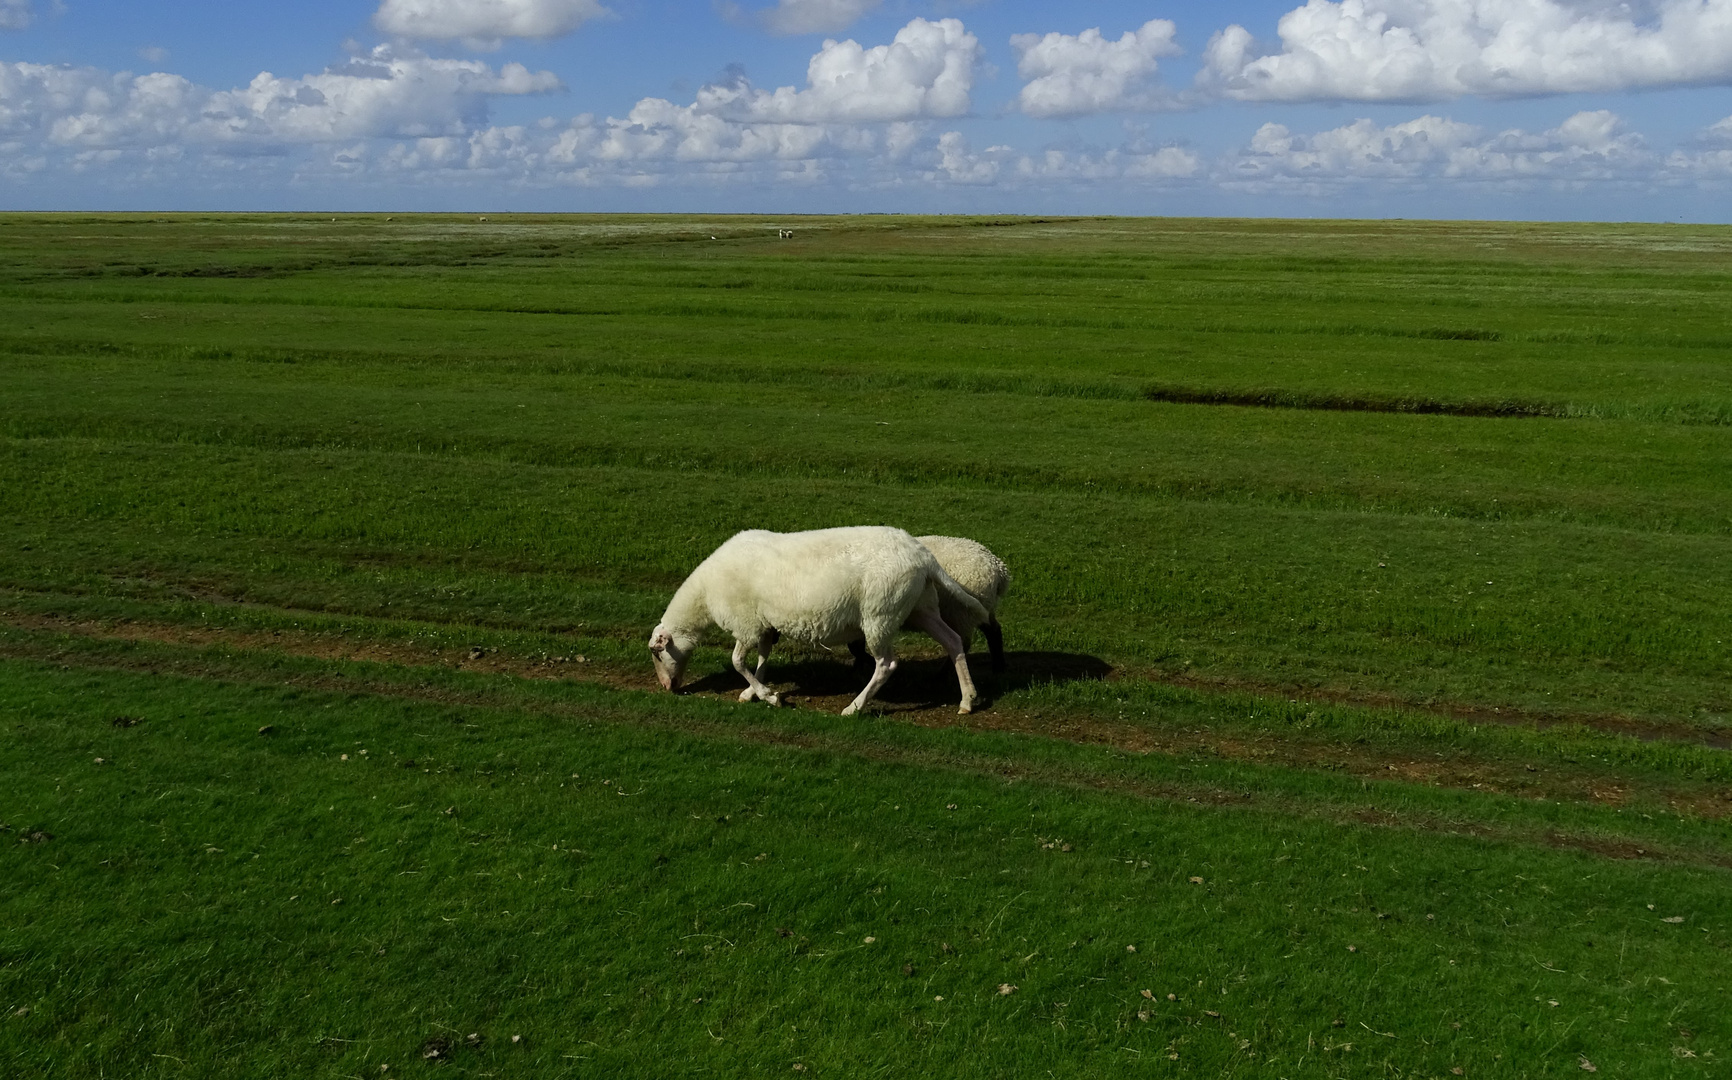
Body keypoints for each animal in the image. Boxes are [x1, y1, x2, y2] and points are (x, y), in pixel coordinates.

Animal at [647, 526, 990, 713]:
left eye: (656, 652)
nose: (666, 687)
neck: (704, 595)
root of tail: (923, 555)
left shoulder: (745, 623)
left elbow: (738, 662)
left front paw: (769, 697)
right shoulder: (763, 623)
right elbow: (762, 657)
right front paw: (754, 691)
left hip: (880, 614)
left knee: (886, 664)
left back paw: (855, 707)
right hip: (921, 606)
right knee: (953, 642)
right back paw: (968, 700)